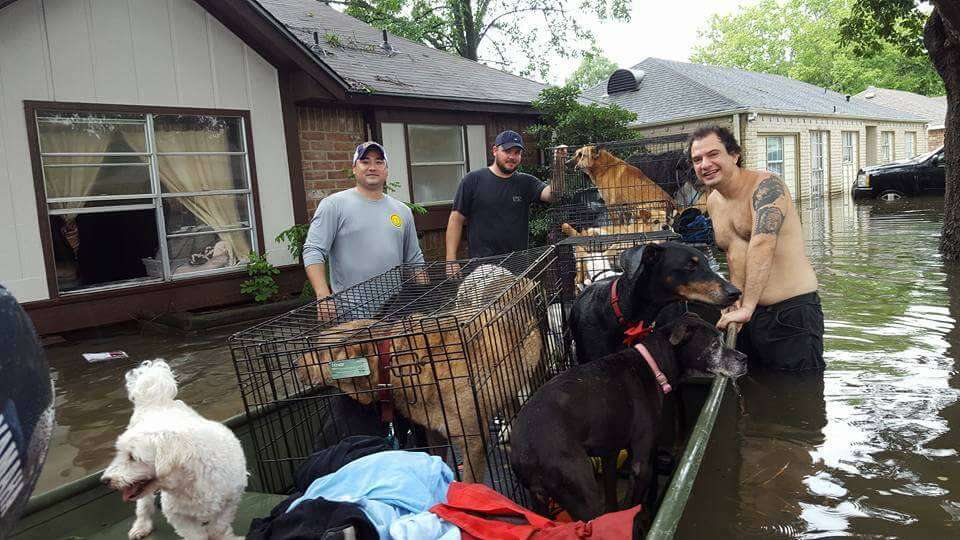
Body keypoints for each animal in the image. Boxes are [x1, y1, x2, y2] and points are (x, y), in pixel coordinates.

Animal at [102, 358, 248, 540]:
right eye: (119, 453)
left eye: (132, 457)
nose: (105, 480)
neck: (189, 479)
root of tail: (156, 403)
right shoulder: (176, 514)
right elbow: (195, 535)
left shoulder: (231, 499)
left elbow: (218, 527)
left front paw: (226, 536)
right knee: (143, 505)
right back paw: (141, 526)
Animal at [510, 312, 752, 520]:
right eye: (714, 345)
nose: (744, 358)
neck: (653, 365)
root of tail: (524, 449)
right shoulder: (641, 465)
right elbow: (632, 508)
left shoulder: (609, 453)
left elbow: (613, 501)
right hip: (581, 492)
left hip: (540, 500)